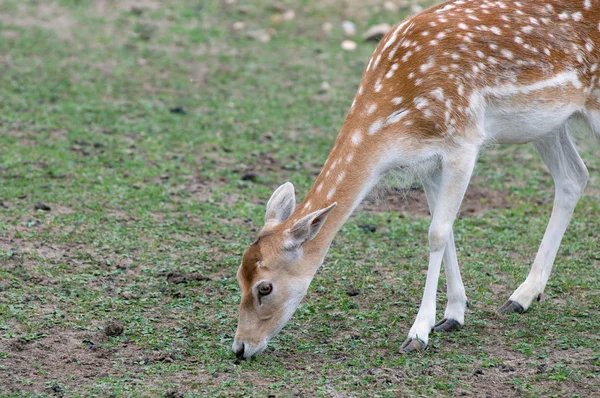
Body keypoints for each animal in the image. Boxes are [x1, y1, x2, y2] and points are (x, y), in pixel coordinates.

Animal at [231, 0, 596, 360]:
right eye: (238, 276)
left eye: (265, 287)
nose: (240, 347)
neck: (397, 120)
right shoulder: (428, 162)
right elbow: (445, 229)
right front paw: (453, 315)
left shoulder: (464, 142)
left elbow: (437, 233)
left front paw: (418, 333)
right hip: (547, 124)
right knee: (573, 176)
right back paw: (522, 296)